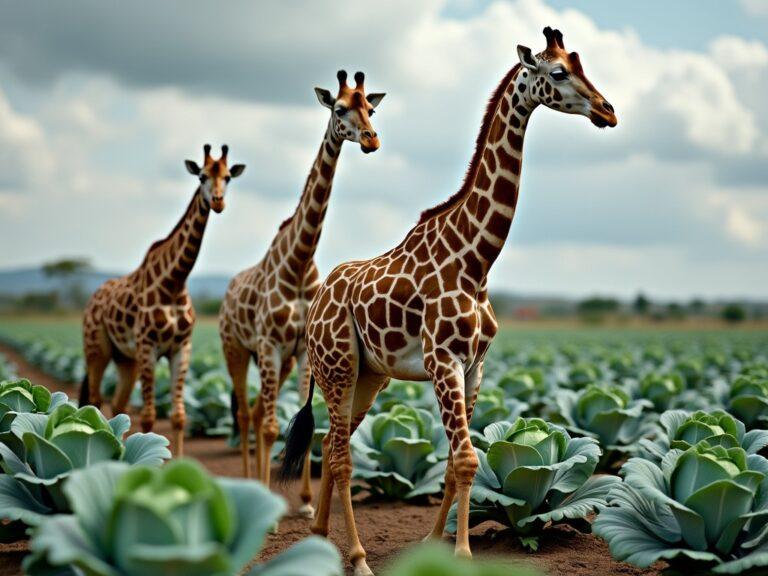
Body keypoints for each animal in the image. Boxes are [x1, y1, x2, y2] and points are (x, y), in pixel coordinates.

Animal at [81, 146, 244, 456]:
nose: (218, 202)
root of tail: (92, 300)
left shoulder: (181, 347)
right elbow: (148, 416)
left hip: (125, 358)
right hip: (97, 349)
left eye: (228, 177)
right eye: (202, 176)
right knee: (94, 401)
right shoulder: (148, 346)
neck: (174, 282)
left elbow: (179, 415)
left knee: (118, 405)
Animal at [216, 71, 384, 512]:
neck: (298, 261)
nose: (371, 139)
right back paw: (247, 481)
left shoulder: (304, 351)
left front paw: (306, 501)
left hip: (279, 358)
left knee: (258, 411)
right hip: (236, 349)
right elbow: (272, 425)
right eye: (339, 109)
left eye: (371, 108)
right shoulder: (269, 343)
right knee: (248, 414)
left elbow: (306, 423)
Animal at [282, 28, 616, 576]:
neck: (477, 261)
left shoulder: (475, 366)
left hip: (369, 375)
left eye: (580, 62)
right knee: (341, 454)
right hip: (336, 365)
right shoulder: (443, 360)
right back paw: (357, 556)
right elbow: (464, 458)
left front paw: (434, 543)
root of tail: (318, 301)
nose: (608, 111)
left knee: (334, 442)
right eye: (559, 71)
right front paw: (461, 553)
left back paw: (321, 538)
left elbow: (459, 460)